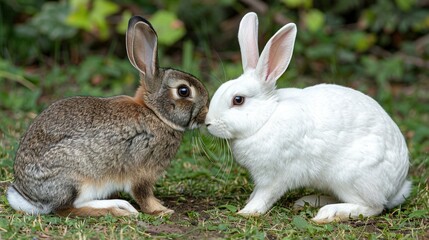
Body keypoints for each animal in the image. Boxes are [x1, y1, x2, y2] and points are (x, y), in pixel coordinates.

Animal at [6, 15, 207, 217]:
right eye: (183, 91)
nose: (205, 114)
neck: (154, 113)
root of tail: (32, 198)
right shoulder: (142, 171)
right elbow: (143, 194)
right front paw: (161, 210)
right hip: (77, 177)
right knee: (67, 208)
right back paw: (119, 210)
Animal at [206, 12, 410, 223]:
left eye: (238, 100)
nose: (208, 123)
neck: (266, 118)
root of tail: (398, 185)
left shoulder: (275, 177)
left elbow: (265, 195)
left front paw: (248, 211)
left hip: (351, 177)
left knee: (373, 206)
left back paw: (329, 213)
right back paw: (309, 201)